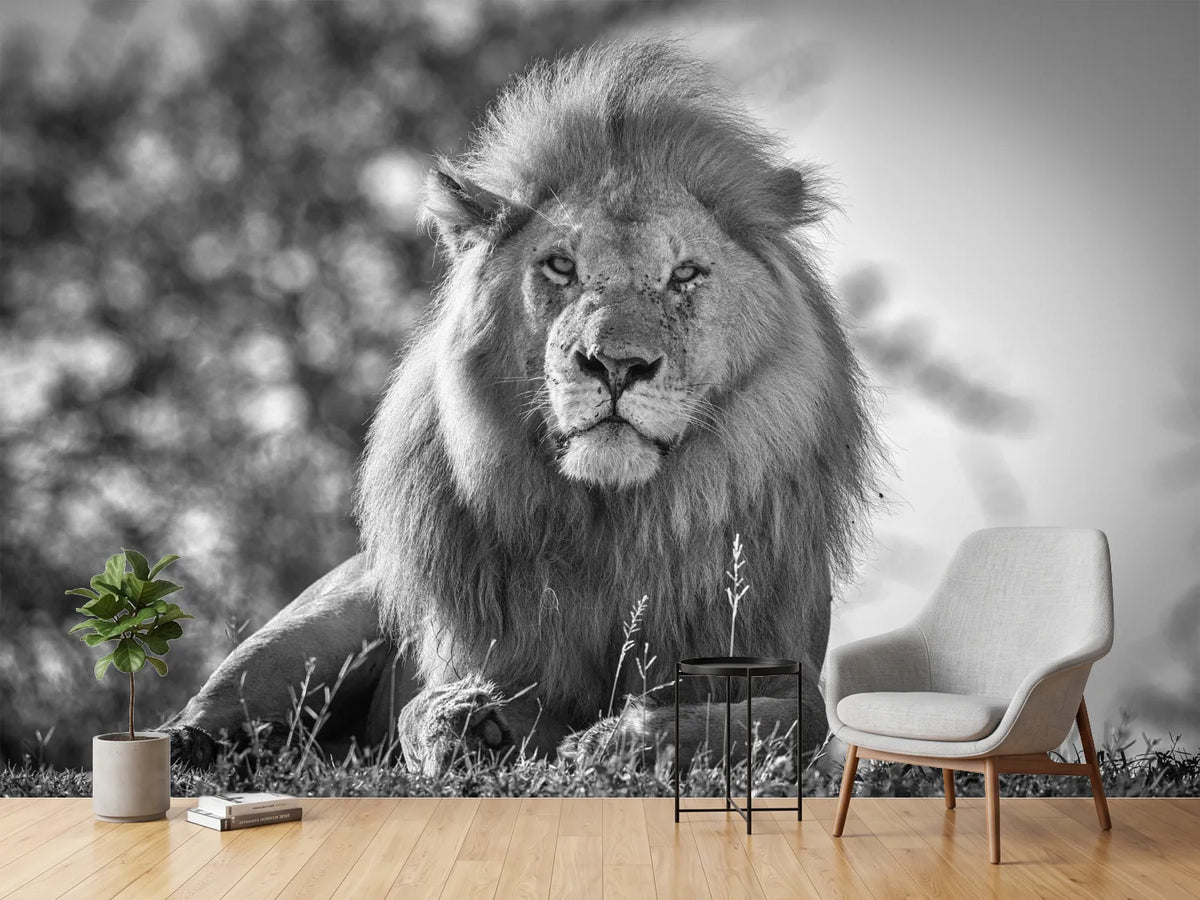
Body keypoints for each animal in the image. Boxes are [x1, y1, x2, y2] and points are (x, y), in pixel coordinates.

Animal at [165, 41, 877, 776]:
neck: (617, 523)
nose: (616, 364)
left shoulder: (784, 666)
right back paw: (193, 746)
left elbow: (774, 721)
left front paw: (617, 737)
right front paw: (467, 723)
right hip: (322, 621)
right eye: (560, 266)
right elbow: (428, 708)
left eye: (685, 274)